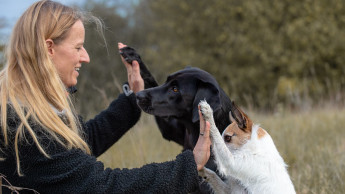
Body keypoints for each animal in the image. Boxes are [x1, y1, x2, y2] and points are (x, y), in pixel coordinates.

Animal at [119, 46, 232, 193]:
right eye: (167, 81)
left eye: (175, 89)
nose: (138, 95)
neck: (194, 132)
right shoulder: (171, 131)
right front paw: (132, 57)